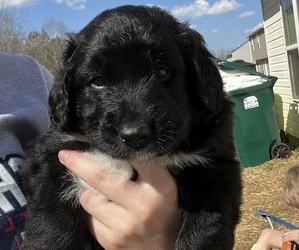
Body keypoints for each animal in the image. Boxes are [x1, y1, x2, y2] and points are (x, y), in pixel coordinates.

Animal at [19, 4, 243, 250]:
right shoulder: (51, 156)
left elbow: (206, 225)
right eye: (98, 81)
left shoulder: (216, 165)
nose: (135, 135)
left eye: (162, 72)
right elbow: (51, 225)